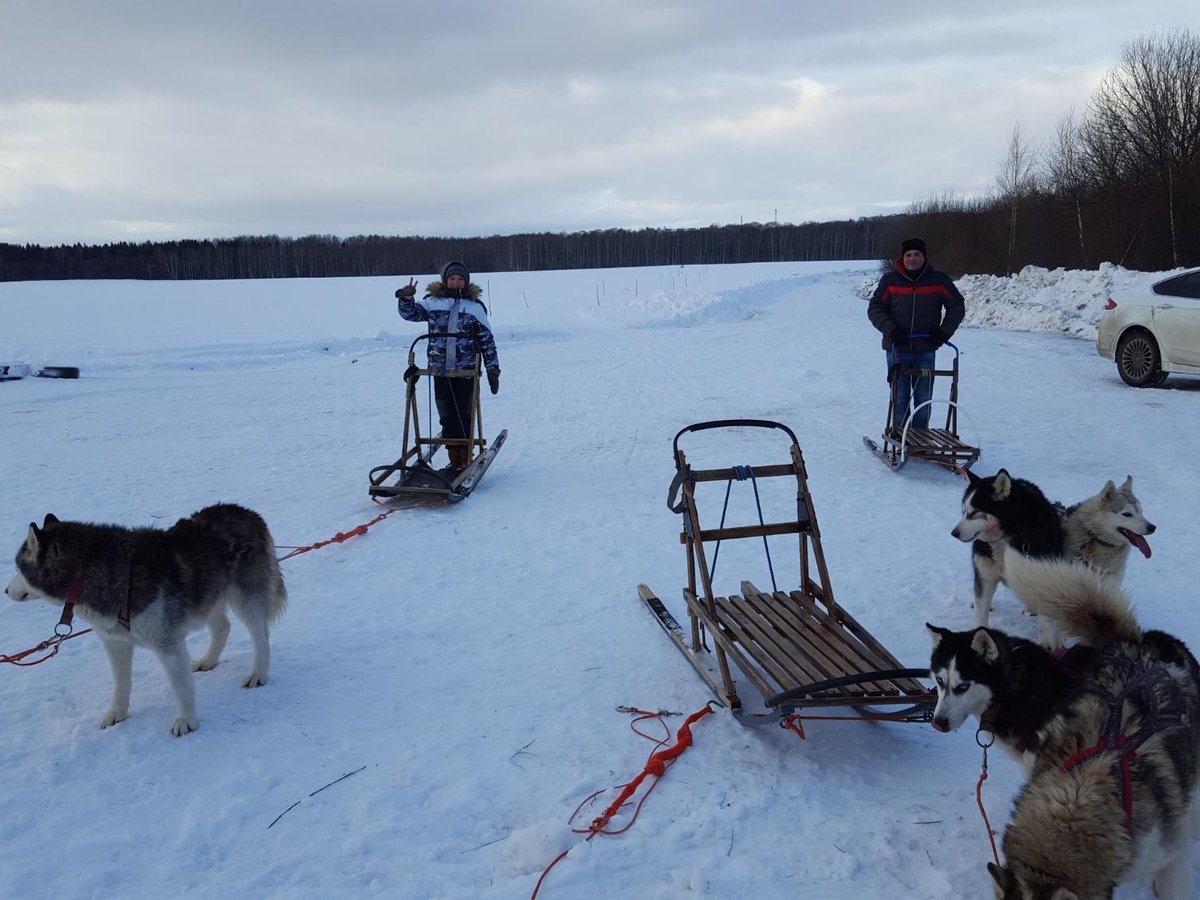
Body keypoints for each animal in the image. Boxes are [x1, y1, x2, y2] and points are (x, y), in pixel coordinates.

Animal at [5, 504, 285, 734]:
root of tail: (247, 513)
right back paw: (208, 660)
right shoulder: (115, 642)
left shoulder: (167, 642)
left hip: (245, 600)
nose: (6, 591)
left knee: (261, 636)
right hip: (209, 596)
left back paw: (258, 673)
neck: (89, 574)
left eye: (17, 568)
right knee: (222, 627)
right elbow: (121, 682)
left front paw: (186, 720)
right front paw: (116, 712)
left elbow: (181, 686)